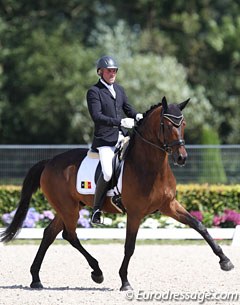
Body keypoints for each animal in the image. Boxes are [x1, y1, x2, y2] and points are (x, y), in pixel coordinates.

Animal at [0, 97, 232, 290]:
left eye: (183, 125)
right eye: (166, 125)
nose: (181, 158)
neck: (150, 166)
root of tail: (49, 162)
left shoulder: (169, 206)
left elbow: (199, 225)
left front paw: (225, 261)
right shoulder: (135, 213)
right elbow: (129, 246)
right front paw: (125, 281)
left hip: (69, 207)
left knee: (50, 233)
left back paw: (36, 279)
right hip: (68, 208)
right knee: (69, 235)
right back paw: (97, 272)